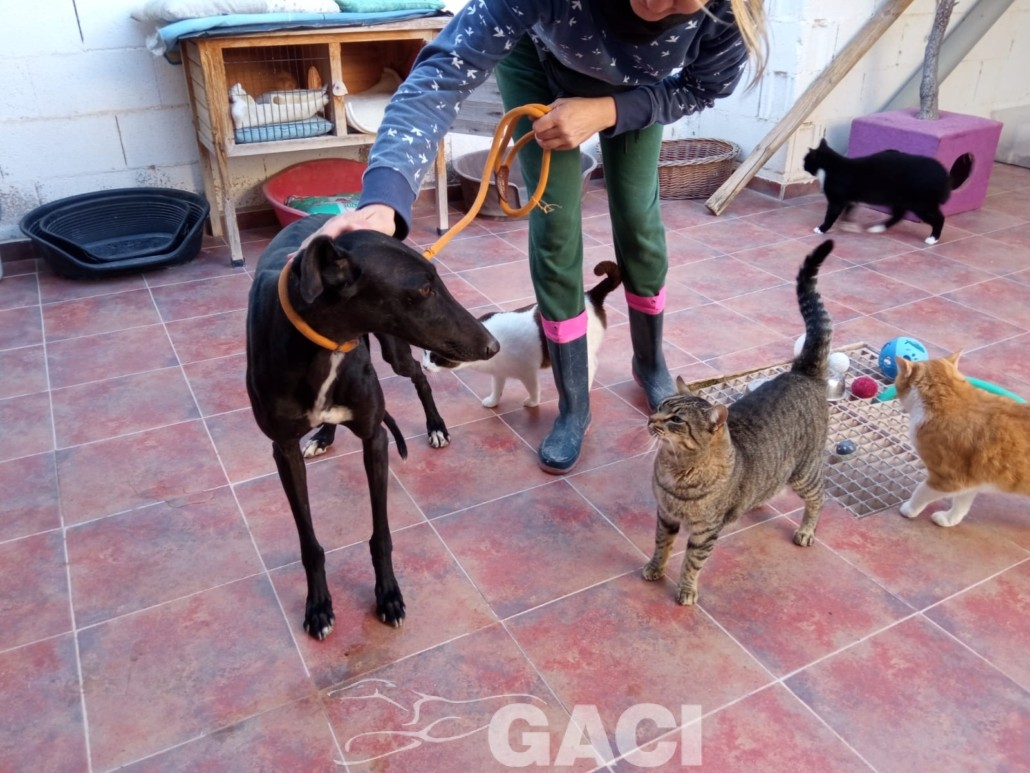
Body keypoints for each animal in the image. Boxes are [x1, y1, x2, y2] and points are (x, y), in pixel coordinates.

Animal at [246, 215, 498, 639]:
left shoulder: (374, 437)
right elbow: (309, 542)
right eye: (424, 288)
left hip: (395, 350)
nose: (492, 346)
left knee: (419, 376)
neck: (326, 348)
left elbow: (381, 535)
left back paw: (436, 426)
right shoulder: (283, 450)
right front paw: (318, 606)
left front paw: (388, 596)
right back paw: (324, 435)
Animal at [421, 261, 621, 408]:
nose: (423, 366)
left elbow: (533, 390)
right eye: (424, 353)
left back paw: (585, 388)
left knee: (592, 364)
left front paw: (532, 403)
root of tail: (590, 296)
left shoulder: (528, 373)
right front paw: (493, 402)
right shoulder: (498, 373)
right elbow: (497, 388)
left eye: (436, 358)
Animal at [642, 240, 834, 606]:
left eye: (676, 420)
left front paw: (686, 590)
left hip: (804, 472)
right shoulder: (666, 516)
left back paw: (806, 530)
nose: (651, 419)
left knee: (820, 497)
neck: (676, 471)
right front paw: (654, 569)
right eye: (661, 406)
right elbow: (661, 546)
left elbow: (691, 562)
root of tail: (803, 372)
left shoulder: (705, 532)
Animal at [803, 138, 951, 245]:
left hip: (920, 204)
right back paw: (879, 228)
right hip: (899, 198)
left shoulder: (836, 200)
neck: (832, 166)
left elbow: (831, 215)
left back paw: (933, 238)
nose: (802, 164)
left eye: (806, 159)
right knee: (899, 214)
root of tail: (943, 174)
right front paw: (847, 224)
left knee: (939, 218)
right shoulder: (850, 199)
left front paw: (821, 228)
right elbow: (849, 211)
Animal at [895, 352, 1030, 527]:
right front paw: (949, 519)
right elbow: (961, 505)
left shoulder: (948, 479)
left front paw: (910, 510)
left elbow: (921, 491)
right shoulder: (969, 480)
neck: (950, 398)